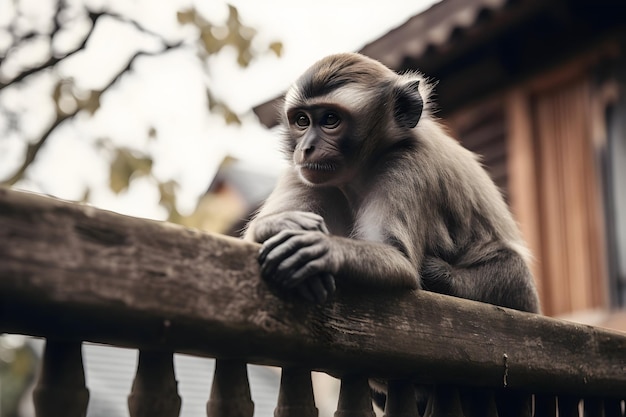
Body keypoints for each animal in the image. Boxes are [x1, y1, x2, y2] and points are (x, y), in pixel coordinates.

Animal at [241, 52, 540, 314]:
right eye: (302, 120)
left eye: (330, 120)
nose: (306, 148)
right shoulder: (302, 172)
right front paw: (278, 224)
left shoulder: (407, 164)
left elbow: (398, 261)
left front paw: (324, 248)